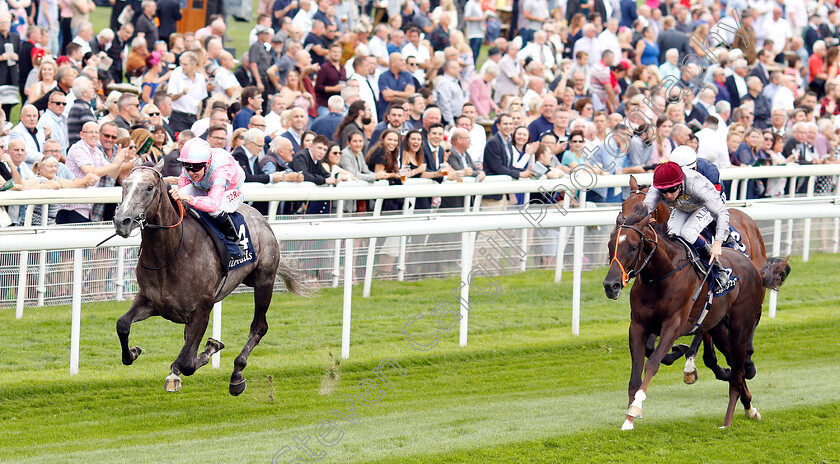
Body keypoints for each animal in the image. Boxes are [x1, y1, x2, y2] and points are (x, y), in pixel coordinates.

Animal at [111, 164, 308, 396]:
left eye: (149, 187)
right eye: (124, 184)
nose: (121, 221)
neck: (169, 254)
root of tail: (261, 219)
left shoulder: (202, 309)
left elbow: (187, 363)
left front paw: (199, 356)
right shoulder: (152, 301)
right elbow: (122, 324)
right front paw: (133, 352)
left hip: (264, 280)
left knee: (259, 327)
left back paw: (237, 374)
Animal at [604, 205, 788, 430]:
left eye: (632, 247)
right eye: (610, 245)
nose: (610, 285)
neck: (661, 275)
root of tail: (751, 264)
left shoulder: (673, 325)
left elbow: (653, 363)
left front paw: (636, 408)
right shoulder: (638, 326)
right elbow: (635, 375)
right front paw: (628, 421)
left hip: (740, 326)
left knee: (738, 368)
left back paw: (728, 419)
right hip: (718, 328)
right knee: (734, 366)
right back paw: (750, 408)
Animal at [624, 176, 768, 382]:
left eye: (644, 211)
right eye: (622, 206)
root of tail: (746, 218)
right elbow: (651, 347)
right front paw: (679, 351)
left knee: (755, 315)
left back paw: (745, 359)